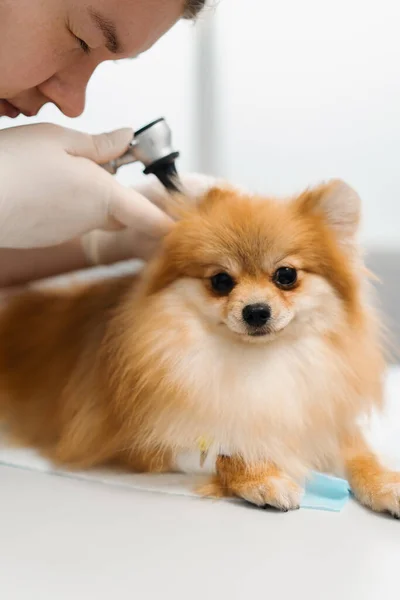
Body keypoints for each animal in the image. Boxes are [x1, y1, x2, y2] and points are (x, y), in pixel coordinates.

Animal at [0, 177, 400, 516]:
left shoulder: (322, 421)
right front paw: (263, 476)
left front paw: (386, 483)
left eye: (286, 276)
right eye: (221, 281)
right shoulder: (138, 442)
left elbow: (360, 456)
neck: (258, 362)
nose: (256, 311)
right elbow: (225, 448)